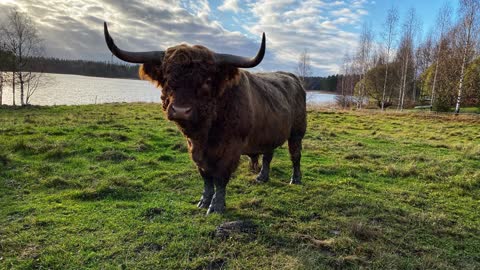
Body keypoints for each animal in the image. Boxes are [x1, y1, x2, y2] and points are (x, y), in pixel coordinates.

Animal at [104, 22, 308, 214]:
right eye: (167, 78)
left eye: (207, 81)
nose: (180, 110)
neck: (204, 133)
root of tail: (294, 79)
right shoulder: (195, 149)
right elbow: (206, 177)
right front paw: (203, 202)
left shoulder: (230, 149)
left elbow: (220, 178)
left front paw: (216, 206)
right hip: (268, 134)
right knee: (268, 155)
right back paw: (262, 177)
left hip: (297, 132)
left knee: (295, 155)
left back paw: (295, 179)